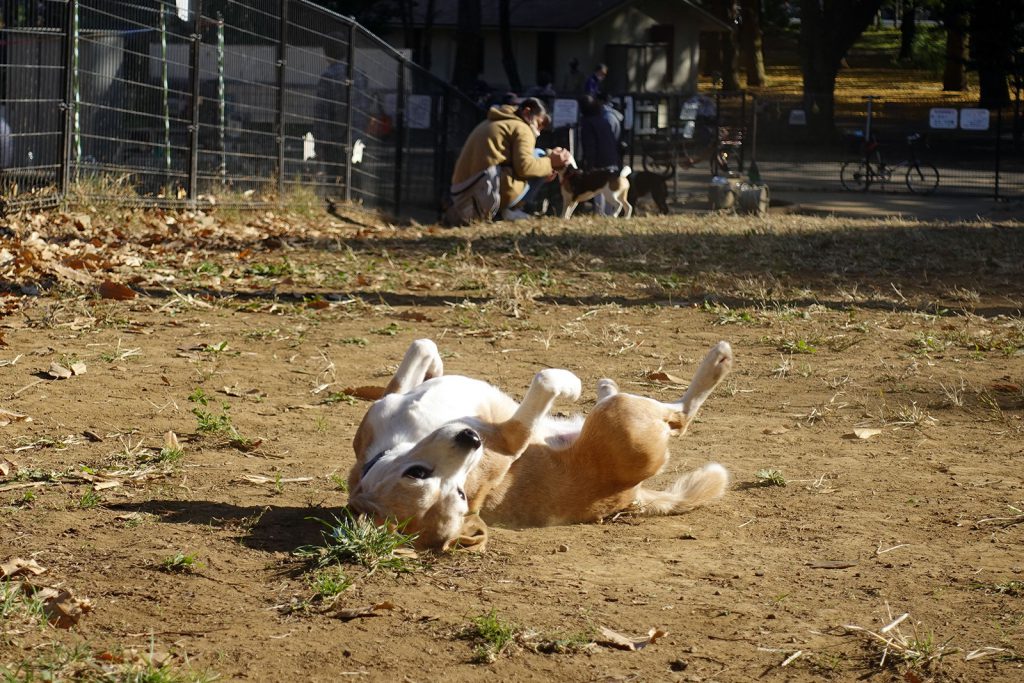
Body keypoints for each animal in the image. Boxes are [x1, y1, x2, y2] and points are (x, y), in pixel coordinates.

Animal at [348, 339, 733, 552]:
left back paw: (605, 386)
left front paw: (434, 369)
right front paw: (570, 384)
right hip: (624, 416)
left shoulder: (391, 401)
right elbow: (546, 379)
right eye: (418, 474)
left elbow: (421, 346)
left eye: (459, 492)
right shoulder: (510, 436)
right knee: (680, 417)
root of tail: (631, 498)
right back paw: (717, 361)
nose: (472, 440)